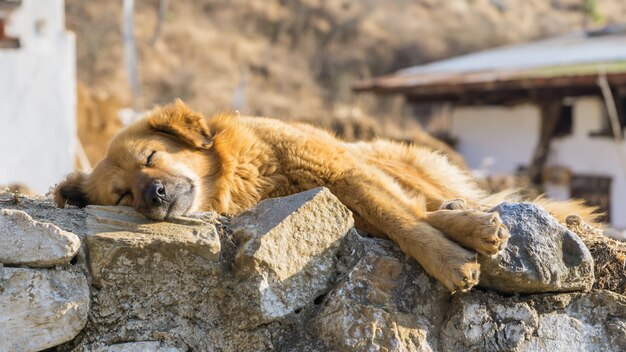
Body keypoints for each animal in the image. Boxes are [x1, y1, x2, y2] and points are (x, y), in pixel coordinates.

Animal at [56, 100, 596, 292]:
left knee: (427, 200)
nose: (154, 194)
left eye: (150, 157)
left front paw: (448, 257)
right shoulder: (341, 185)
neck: (247, 175)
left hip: (387, 160)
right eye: (122, 197)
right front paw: (455, 243)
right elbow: (400, 219)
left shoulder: (340, 169)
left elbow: (403, 221)